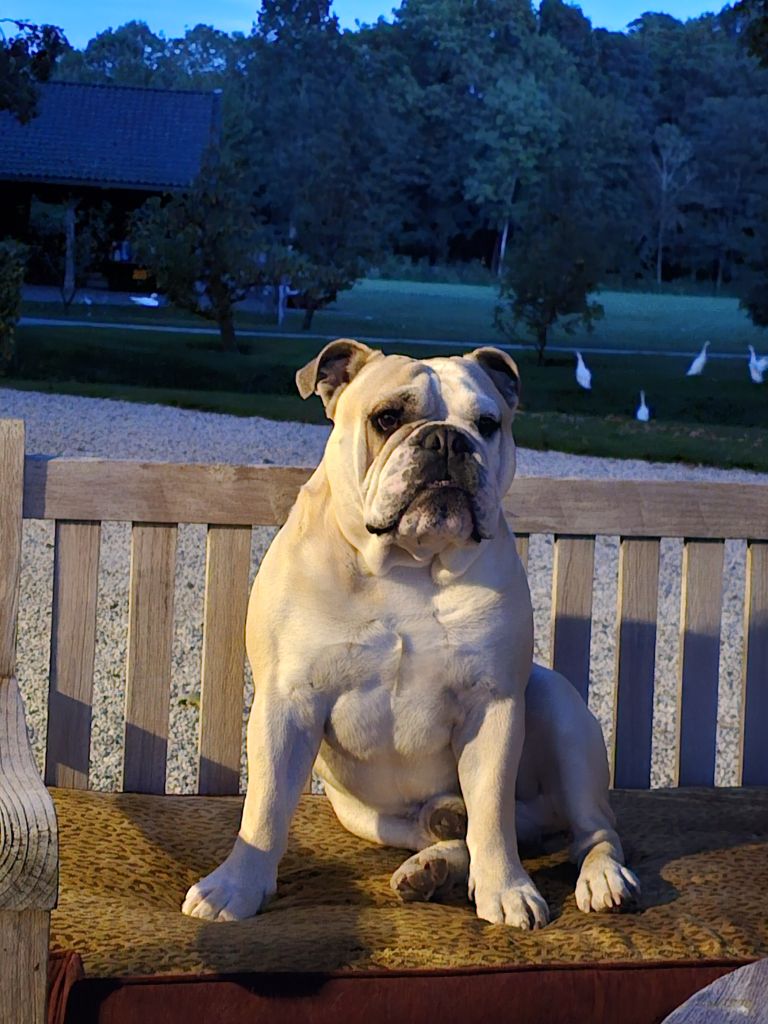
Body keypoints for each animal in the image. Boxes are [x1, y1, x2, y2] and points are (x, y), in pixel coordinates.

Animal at [183, 340, 639, 928]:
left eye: (487, 424)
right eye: (387, 419)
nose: (447, 438)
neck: (409, 567)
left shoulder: (491, 706)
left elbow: (492, 814)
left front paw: (508, 890)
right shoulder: (286, 702)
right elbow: (263, 809)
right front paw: (235, 888)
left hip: (561, 713)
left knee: (588, 831)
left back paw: (602, 877)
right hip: (367, 815)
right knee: (451, 831)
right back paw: (433, 866)